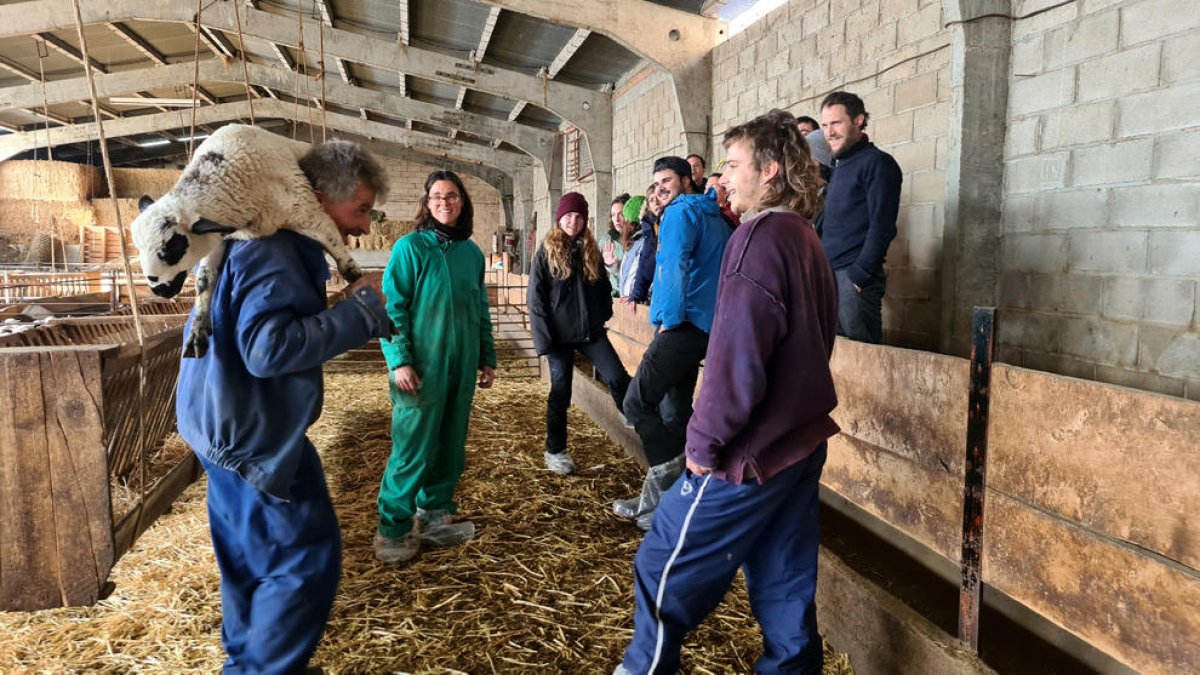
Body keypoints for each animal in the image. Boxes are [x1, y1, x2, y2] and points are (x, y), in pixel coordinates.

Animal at [130, 124, 369, 360]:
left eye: (174, 246)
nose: (159, 291)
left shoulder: (306, 210)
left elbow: (336, 246)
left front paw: (359, 280)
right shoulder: (216, 237)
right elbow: (204, 280)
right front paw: (198, 332)